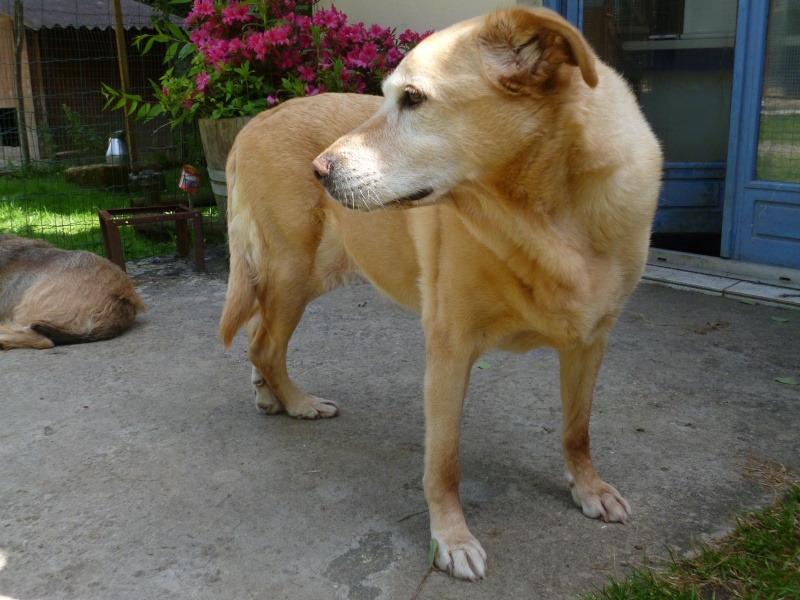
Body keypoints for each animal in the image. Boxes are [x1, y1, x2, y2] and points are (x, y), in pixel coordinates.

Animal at [219, 5, 664, 580]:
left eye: (413, 99)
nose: (318, 170)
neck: (547, 223)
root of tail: (256, 121)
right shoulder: (450, 348)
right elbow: (445, 463)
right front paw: (451, 539)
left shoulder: (591, 340)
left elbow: (577, 428)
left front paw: (588, 488)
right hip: (294, 269)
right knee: (265, 343)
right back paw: (298, 403)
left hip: (311, 272)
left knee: (258, 330)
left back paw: (268, 393)